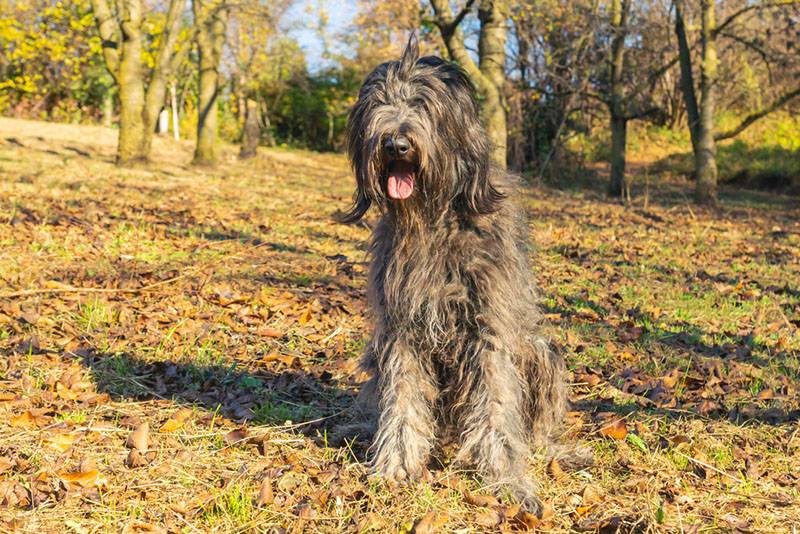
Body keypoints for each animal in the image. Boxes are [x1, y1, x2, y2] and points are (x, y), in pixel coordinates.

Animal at [340, 36, 564, 516]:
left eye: (423, 104)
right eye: (379, 104)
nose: (396, 144)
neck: (433, 218)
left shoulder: (488, 328)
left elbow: (496, 404)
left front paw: (506, 480)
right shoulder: (402, 329)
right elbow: (402, 399)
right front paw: (395, 466)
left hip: (542, 353)